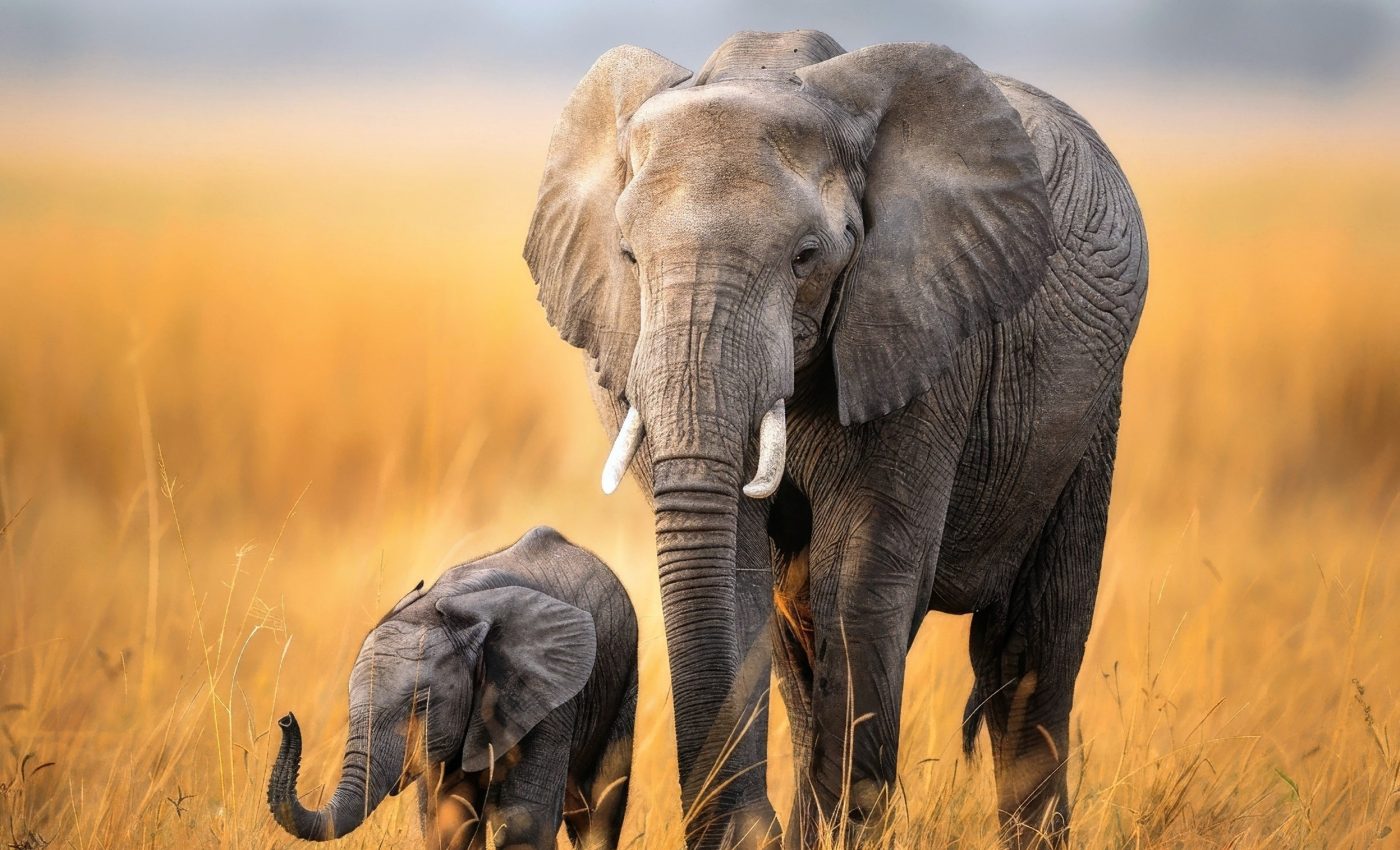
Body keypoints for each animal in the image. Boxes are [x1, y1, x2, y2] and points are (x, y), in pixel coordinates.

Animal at [267, 527, 638, 850]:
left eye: (421, 705)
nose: (286, 720)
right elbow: (448, 823)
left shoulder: (547, 697)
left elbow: (524, 826)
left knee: (599, 809)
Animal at [524, 28, 1147, 850]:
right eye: (627, 256)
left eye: (806, 258)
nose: (749, 826)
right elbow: (741, 570)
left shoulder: (922, 332)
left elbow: (861, 581)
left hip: (1092, 406)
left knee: (1031, 653)